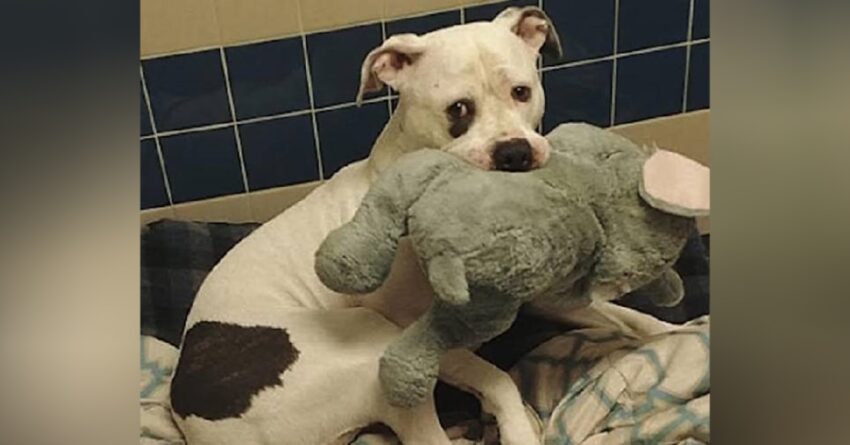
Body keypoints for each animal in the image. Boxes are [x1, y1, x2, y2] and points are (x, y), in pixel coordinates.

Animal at [169, 7, 664, 444]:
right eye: (458, 108)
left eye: (521, 92)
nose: (514, 152)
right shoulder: (423, 339)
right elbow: (496, 378)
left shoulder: (543, 299)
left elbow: (626, 316)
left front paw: (671, 336)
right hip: (372, 350)